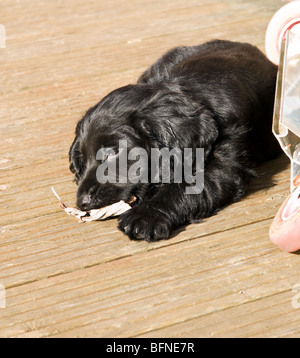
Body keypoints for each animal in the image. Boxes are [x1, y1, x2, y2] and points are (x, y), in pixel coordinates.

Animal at [69, 39, 280, 241]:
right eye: (82, 160)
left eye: (112, 153)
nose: (82, 203)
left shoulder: (224, 160)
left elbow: (183, 187)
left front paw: (145, 217)